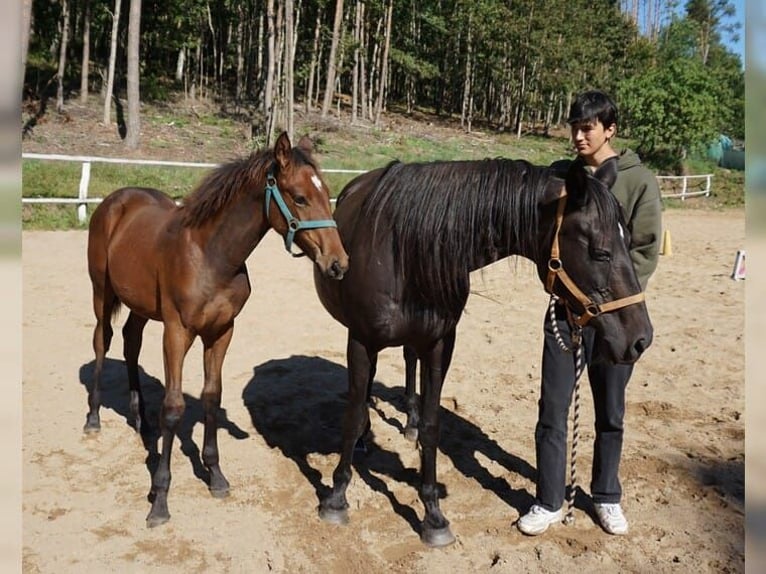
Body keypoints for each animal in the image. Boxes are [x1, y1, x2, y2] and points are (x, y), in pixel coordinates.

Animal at [86, 133, 348, 528]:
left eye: (327, 193)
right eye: (300, 197)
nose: (338, 264)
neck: (211, 256)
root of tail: (115, 201)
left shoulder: (222, 331)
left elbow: (212, 395)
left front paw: (216, 476)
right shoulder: (177, 332)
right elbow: (174, 407)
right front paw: (159, 500)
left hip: (140, 305)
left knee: (131, 342)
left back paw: (141, 420)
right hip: (102, 293)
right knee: (103, 342)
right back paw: (93, 418)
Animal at [312, 156, 656, 548]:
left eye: (629, 240)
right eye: (600, 251)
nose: (641, 338)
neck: (402, 252)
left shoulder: (440, 344)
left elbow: (432, 425)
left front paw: (433, 516)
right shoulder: (361, 340)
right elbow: (353, 416)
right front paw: (336, 498)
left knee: (408, 363)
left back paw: (408, 424)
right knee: (365, 389)